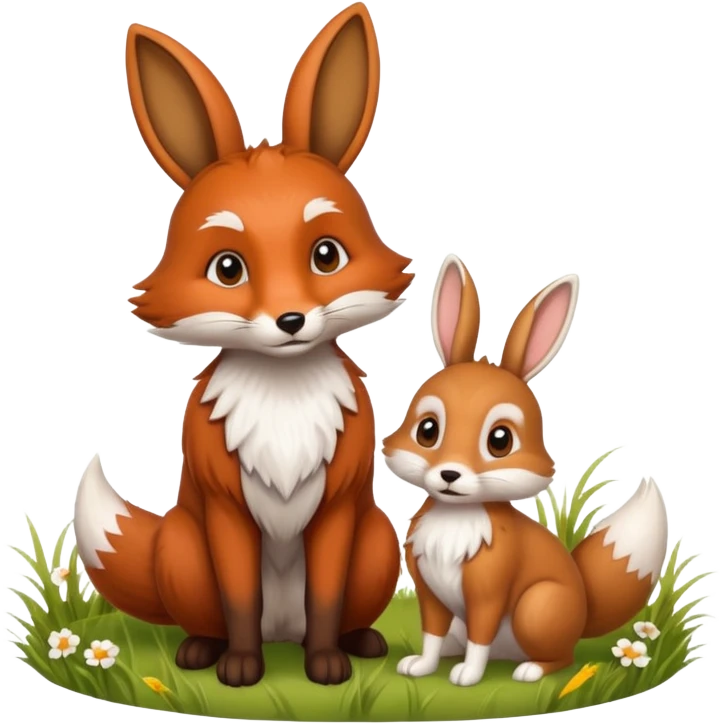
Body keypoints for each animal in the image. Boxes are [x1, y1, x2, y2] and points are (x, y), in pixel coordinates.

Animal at [73, 3, 413, 688]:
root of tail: (283, 633)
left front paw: (326, 667)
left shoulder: (338, 506)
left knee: (338, 612)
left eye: (327, 256)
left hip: (377, 542)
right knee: (213, 616)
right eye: (228, 269)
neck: (283, 399)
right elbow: (238, 597)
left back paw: (359, 642)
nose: (290, 319)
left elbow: (325, 595)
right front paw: (240, 669)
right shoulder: (226, 508)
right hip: (182, 549)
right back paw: (200, 651)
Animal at [382, 255, 669, 687]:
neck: (457, 517)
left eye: (500, 441)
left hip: (538, 607)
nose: (450, 475)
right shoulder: (429, 593)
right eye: (427, 431)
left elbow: (480, 637)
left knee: (561, 658)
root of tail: (583, 614)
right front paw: (422, 666)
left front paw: (469, 676)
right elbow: (430, 632)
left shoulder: (488, 592)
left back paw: (531, 670)